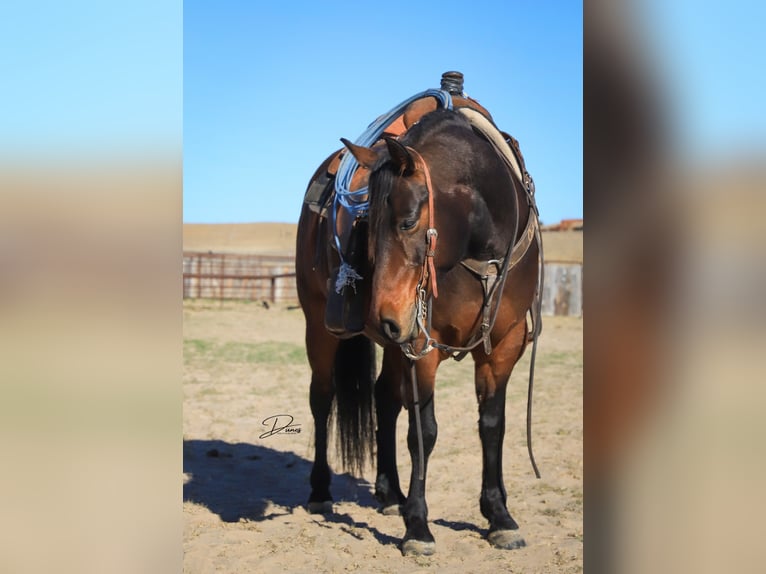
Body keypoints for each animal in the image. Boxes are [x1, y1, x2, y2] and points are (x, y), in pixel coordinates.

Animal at [295, 74, 542, 556]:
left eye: (408, 221)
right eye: (365, 223)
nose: (383, 317)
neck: (478, 248)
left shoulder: (501, 346)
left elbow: (492, 425)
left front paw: (499, 516)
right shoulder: (421, 347)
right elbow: (423, 432)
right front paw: (419, 527)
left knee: (383, 399)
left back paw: (390, 493)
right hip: (322, 329)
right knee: (323, 398)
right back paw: (319, 491)